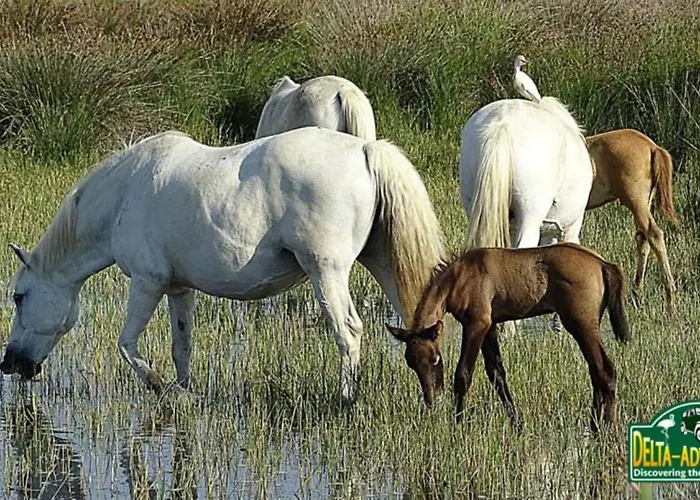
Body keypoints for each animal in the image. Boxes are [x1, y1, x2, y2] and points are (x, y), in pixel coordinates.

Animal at [0, 127, 445, 402]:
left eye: (19, 297)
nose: (9, 363)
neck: (126, 192)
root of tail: (365, 151)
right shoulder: (178, 289)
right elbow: (181, 347)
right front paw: (184, 391)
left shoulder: (147, 282)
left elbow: (127, 344)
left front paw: (159, 385)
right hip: (382, 263)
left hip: (326, 272)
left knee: (348, 332)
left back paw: (345, 399)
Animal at [386, 243, 630, 434]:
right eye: (411, 363)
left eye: (435, 359)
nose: (431, 399)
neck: (459, 277)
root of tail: (602, 264)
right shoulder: (490, 326)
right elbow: (497, 374)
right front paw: (517, 423)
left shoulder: (477, 324)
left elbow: (463, 375)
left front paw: (458, 423)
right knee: (595, 371)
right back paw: (594, 425)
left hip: (580, 324)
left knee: (606, 371)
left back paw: (607, 428)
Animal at [586, 128, 678, 307]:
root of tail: (652, 146)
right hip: (644, 203)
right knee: (643, 239)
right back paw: (637, 295)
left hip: (636, 201)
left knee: (654, 234)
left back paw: (670, 297)